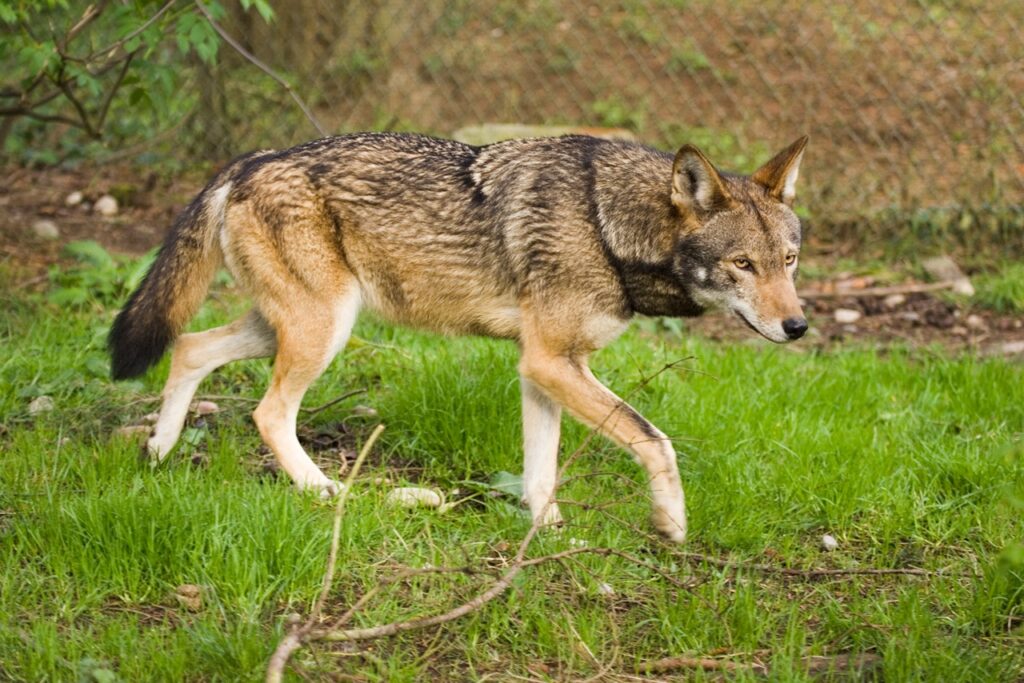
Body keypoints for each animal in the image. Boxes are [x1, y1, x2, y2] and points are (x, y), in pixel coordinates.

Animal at [108, 132, 808, 543]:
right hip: (321, 333)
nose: (798, 326)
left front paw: (547, 535)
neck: (606, 225)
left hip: (293, 328)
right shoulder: (551, 362)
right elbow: (655, 440)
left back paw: (159, 451)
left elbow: (540, 473)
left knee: (189, 347)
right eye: (743, 265)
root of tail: (247, 160)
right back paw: (323, 491)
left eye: (789, 260)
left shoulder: (542, 368)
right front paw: (671, 524)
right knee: (267, 411)